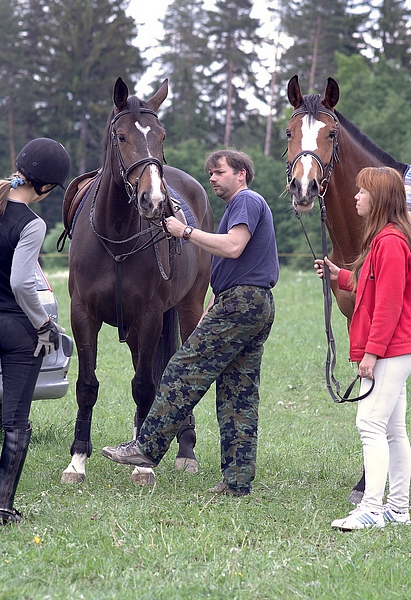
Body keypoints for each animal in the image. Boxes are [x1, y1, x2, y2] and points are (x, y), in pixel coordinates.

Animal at [63, 77, 216, 486]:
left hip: (188, 308)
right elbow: (87, 386)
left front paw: (144, 465)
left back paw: (183, 451)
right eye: (121, 136)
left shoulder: (149, 316)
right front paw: (76, 462)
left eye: (160, 136)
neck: (116, 234)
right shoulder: (83, 315)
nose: (154, 200)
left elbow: (146, 385)